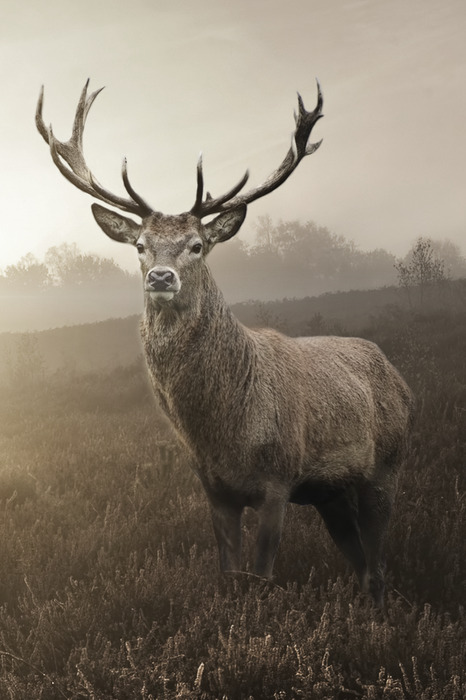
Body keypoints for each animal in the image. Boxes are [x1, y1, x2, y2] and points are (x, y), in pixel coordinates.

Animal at [36, 79, 414, 606]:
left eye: (197, 245)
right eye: (140, 246)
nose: (160, 276)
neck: (224, 432)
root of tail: (399, 377)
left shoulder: (279, 476)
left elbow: (262, 574)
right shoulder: (214, 488)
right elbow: (228, 573)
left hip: (388, 465)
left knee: (378, 562)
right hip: (332, 493)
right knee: (361, 563)